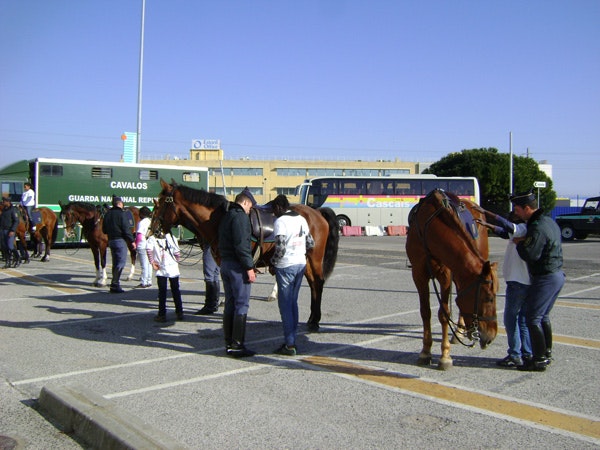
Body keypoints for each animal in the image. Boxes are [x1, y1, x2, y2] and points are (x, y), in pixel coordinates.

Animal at [151, 178, 338, 330]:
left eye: (159, 203)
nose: (153, 230)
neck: (219, 220)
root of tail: (317, 212)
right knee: (313, 284)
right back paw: (312, 319)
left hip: (314, 258)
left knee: (318, 283)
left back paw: (314, 321)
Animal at [406, 189, 500, 370]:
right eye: (489, 298)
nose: (491, 336)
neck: (429, 229)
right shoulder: (418, 274)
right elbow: (425, 312)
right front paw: (425, 351)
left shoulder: (446, 274)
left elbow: (444, 314)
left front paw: (445, 356)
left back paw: (458, 333)